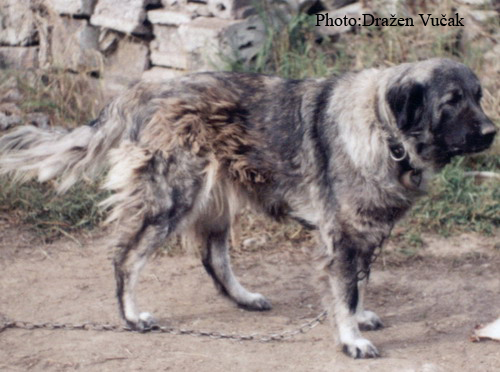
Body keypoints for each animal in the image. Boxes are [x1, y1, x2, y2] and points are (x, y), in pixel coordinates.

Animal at [0, 57, 494, 358]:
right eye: (452, 101)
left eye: (479, 95)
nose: (491, 132)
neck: (384, 130)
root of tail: (150, 87)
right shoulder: (342, 236)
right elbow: (345, 289)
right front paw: (350, 337)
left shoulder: (364, 234)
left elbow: (358, 284)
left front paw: (356, 318)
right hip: (171, 199)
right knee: (127, 257)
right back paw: (132, 316)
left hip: (214, 202)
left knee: (212, 257)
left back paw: (245, 298)